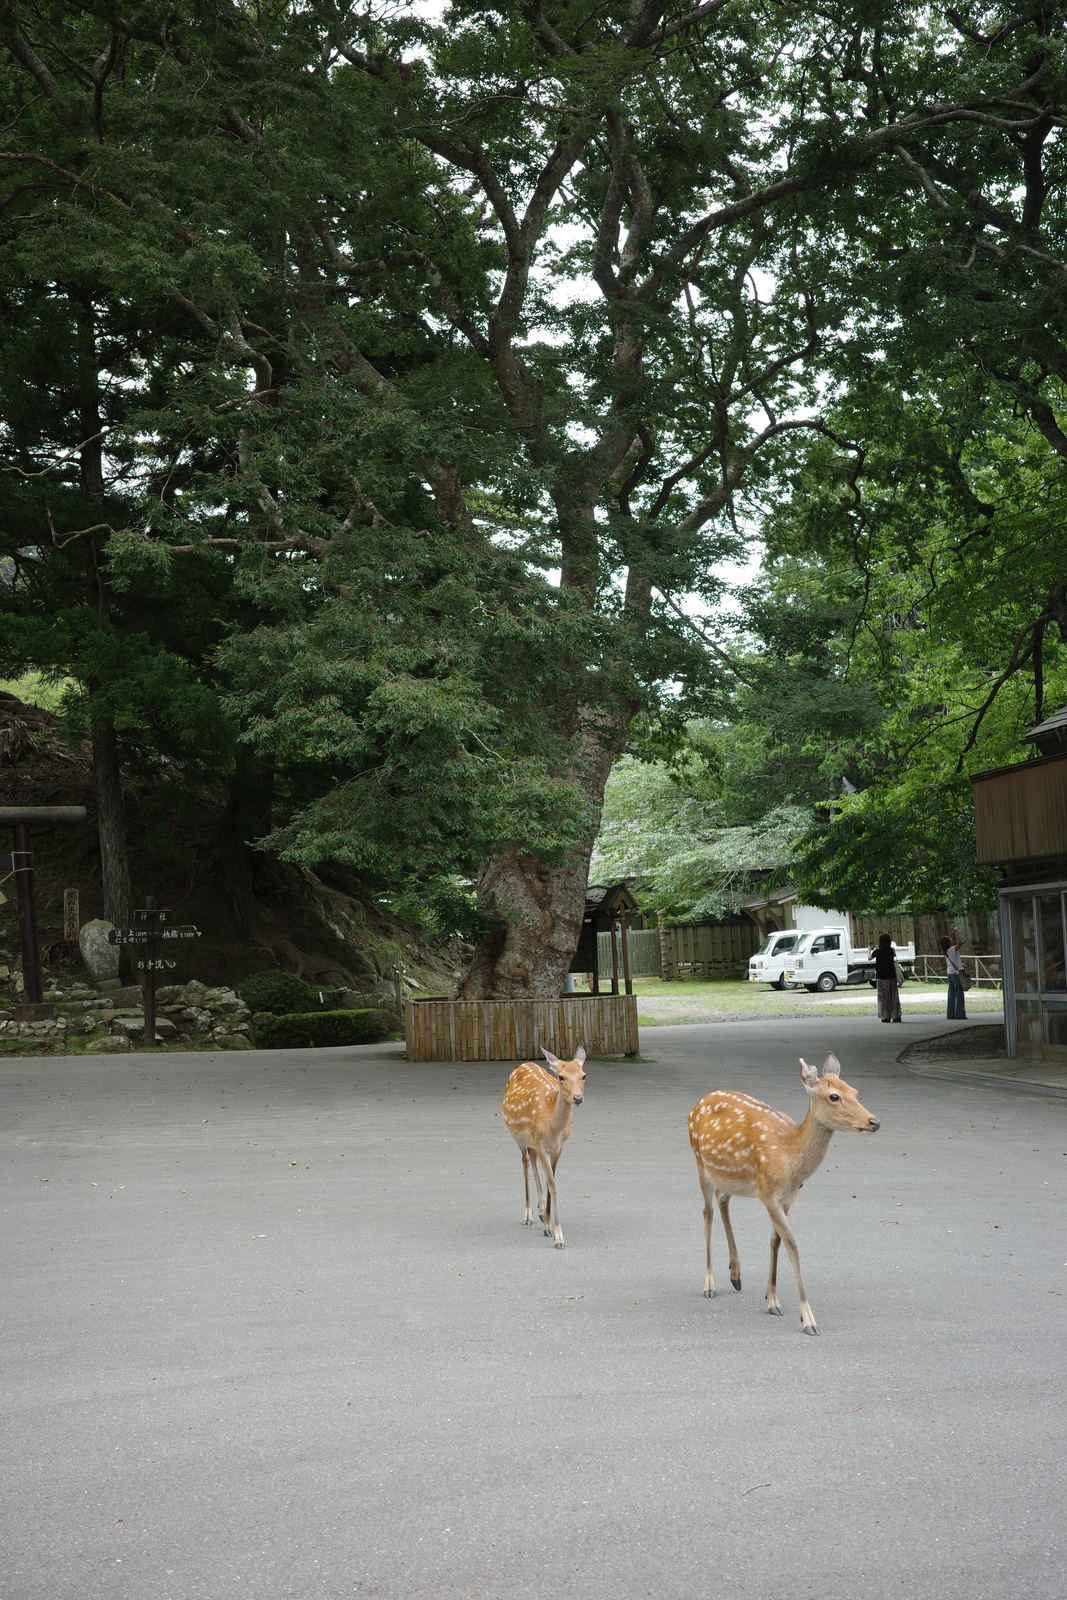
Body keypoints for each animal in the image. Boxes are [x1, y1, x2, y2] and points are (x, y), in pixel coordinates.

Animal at [501, 1047, 587, 1249]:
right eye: (561, 1077)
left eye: (583, 1075)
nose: (578, 1098)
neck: (552, 1129)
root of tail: (523, 1064)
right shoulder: (540, 1143)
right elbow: (553, 1185)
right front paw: (558, 1236)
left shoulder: (557, 1147)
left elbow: (551, 1181)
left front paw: (548, 1224)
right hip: (520, 1138)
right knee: (525, 1162)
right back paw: (528, 1215)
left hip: (534, 1143)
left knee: (532, 1161)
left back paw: (541, 1212)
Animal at [688, 1054, 880, 1335]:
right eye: (834, 1096)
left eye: (856, 1092)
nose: (874, 1121)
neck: (790, 1160)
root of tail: (697, 1105)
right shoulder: (769, 1194)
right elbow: (792, 1245)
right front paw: (807, 1319)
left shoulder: (788, 1198)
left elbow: (775, 1241)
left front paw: (771, 1298)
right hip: (701, 1163)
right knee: (707, 1212)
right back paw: (709, 1283)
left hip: (731, 1177)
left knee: (723, 1201)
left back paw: (736, 1275)